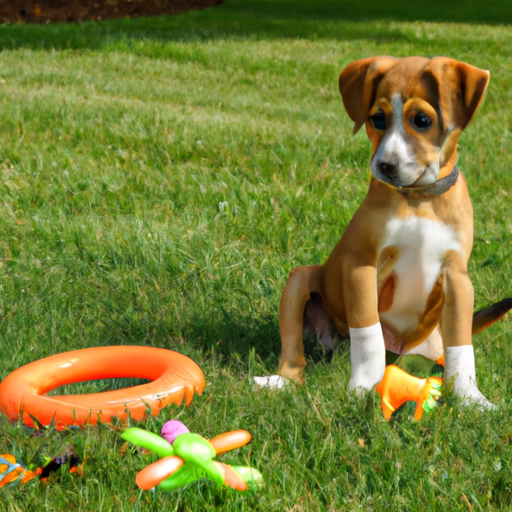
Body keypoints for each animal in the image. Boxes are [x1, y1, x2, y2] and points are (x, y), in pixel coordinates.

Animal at [256, 56, 512, 406]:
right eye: (377, 118)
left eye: (421, 120)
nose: (386, 166)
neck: (419, 200)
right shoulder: (361, 265)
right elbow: (368, 334)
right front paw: (364, 387)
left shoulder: (458, 278)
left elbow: (461, 347)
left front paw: (471, 400)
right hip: (299, 282)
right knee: (295, 349)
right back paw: (280, 381)